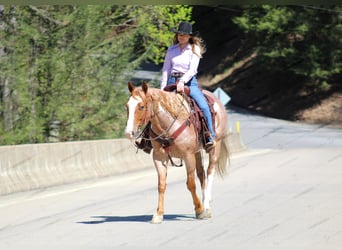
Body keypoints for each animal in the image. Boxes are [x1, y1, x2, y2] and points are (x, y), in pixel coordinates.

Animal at [124, 81, 228, 224]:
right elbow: (161, 185)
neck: (169, 125)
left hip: (214, 147)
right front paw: (158, 214)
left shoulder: (188, 156)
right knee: (202, 175)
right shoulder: (159, 158)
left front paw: (199, 210)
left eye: (141, 106)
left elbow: (190, 184)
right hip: (197, 152)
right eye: (127, 106)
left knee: (210, 172)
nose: (128, 133)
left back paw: (206, 206)